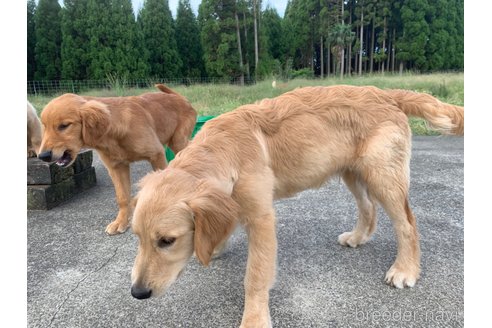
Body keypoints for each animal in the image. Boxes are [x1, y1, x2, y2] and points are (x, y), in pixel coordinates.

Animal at [38, 83, 198, 234]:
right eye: (44, 126)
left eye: (64, 125)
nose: (42, 156)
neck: (114, 132)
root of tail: (179, 97)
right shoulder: (116, 167)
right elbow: (122, 197)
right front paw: (120, 222)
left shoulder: (156, 154)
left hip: (178, 141)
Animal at [129, 86, 464, 326]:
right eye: (137, 237)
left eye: (167, 241)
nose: (138, 293)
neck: (223, 150)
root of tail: (387, 93)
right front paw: (214, 245)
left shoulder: (261, 218)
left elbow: (255, 276)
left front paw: (254, 320)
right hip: (353, 172)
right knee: (367, 207)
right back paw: (358, 237)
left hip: (383, 177)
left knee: (407, 223)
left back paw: (405, 269)